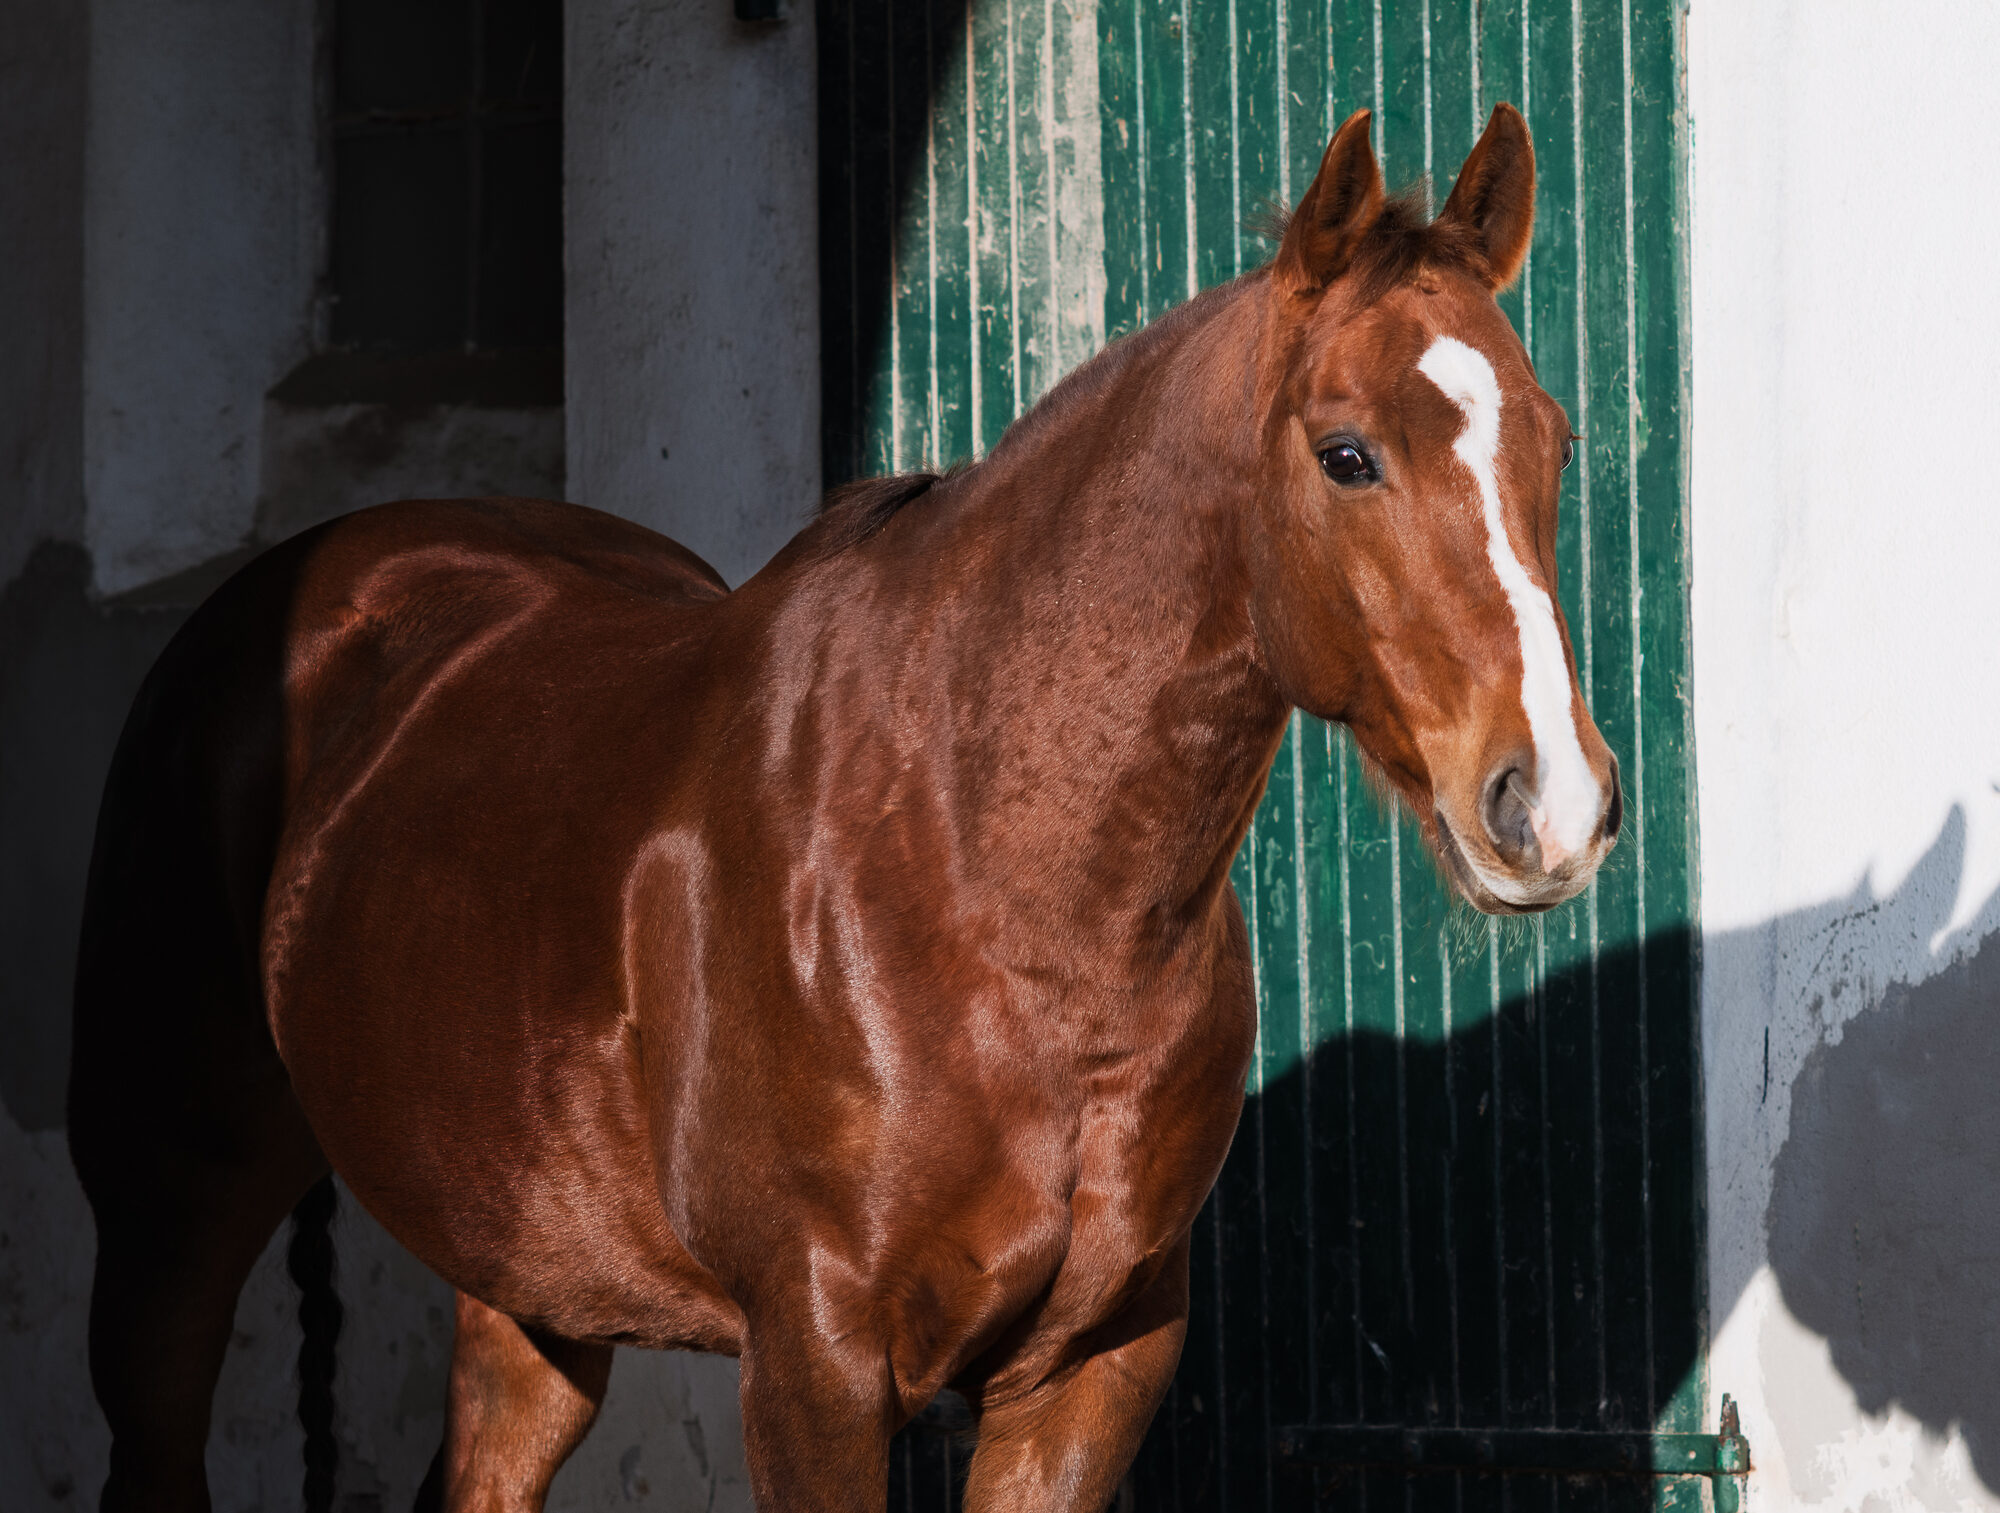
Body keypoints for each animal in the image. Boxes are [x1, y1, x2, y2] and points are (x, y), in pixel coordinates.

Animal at [68, 103, 1619, 1512]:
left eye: (1555, 441)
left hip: (528, 1281)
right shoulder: (813, 1361)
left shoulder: (1093, 1367)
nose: (1550, 800)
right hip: (169, 1219)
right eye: (1346, 453)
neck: (993, 882)